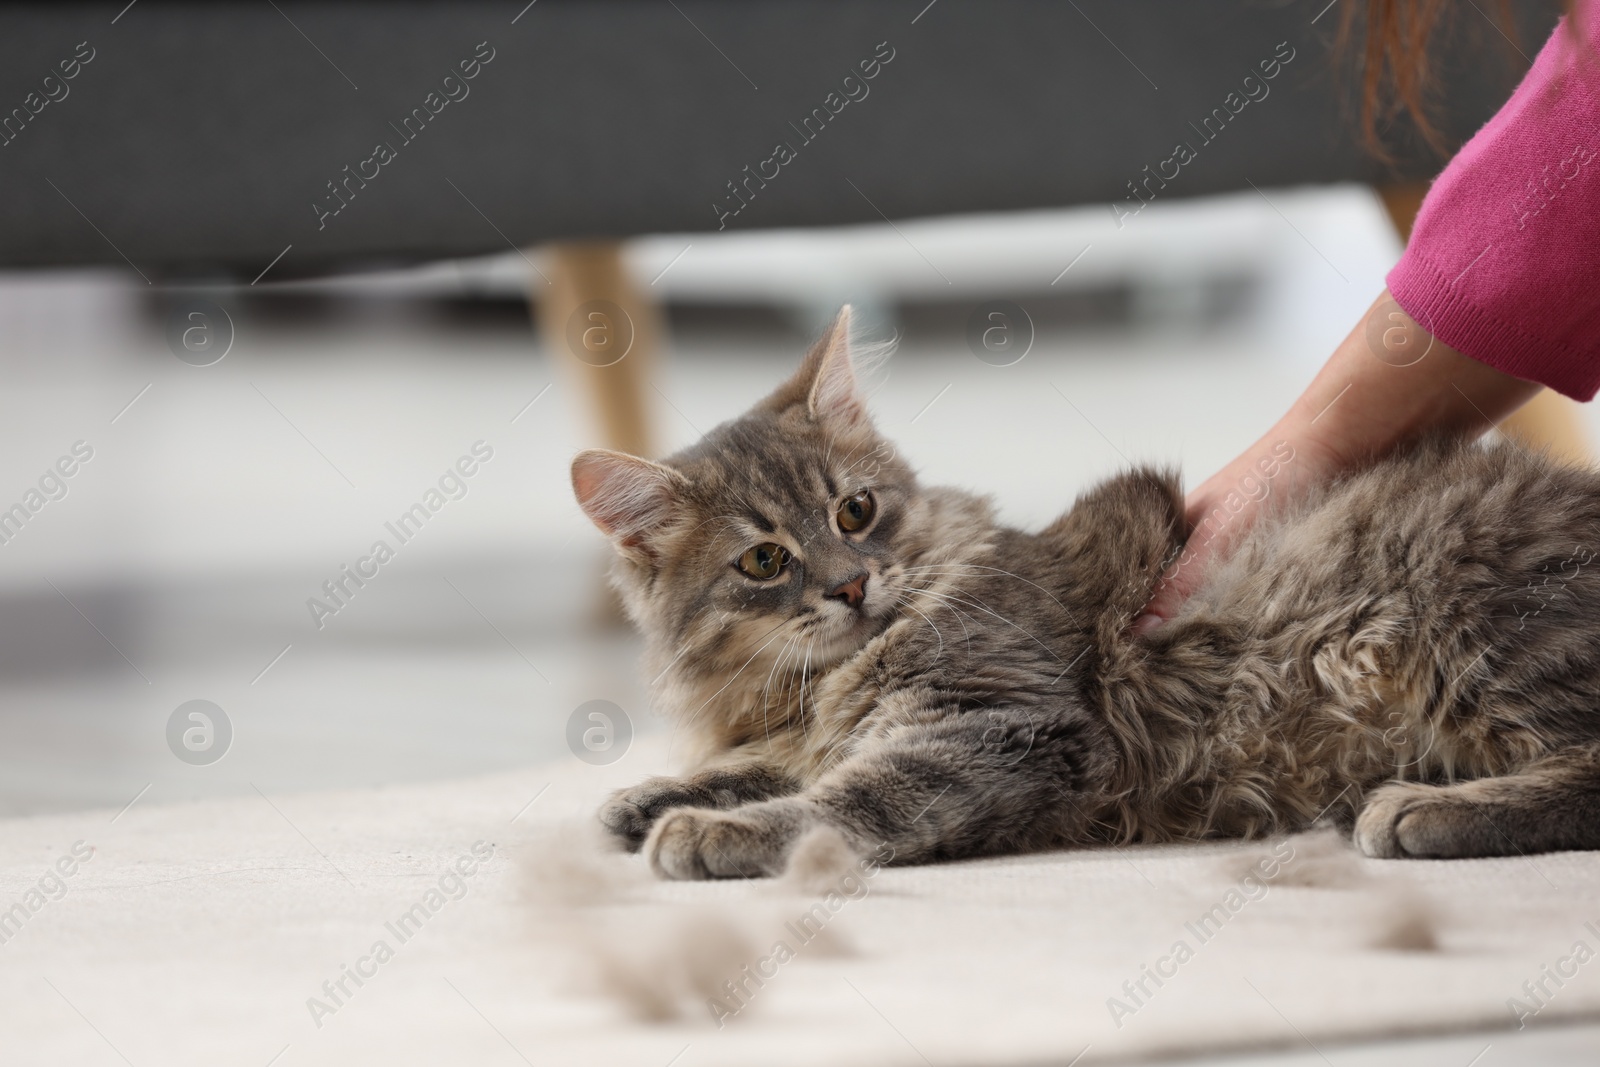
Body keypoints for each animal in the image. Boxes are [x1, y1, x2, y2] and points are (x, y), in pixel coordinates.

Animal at [576, 303, 1600, 883]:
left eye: (854, 511)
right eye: (763, 561)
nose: (852, 583)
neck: (821, 678)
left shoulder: (1005, 724)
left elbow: (839, 800)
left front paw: (706, 829)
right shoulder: (827, 723)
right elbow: (771, 761)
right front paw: (648, 796)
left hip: (1471, 626)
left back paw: (1419, 810)